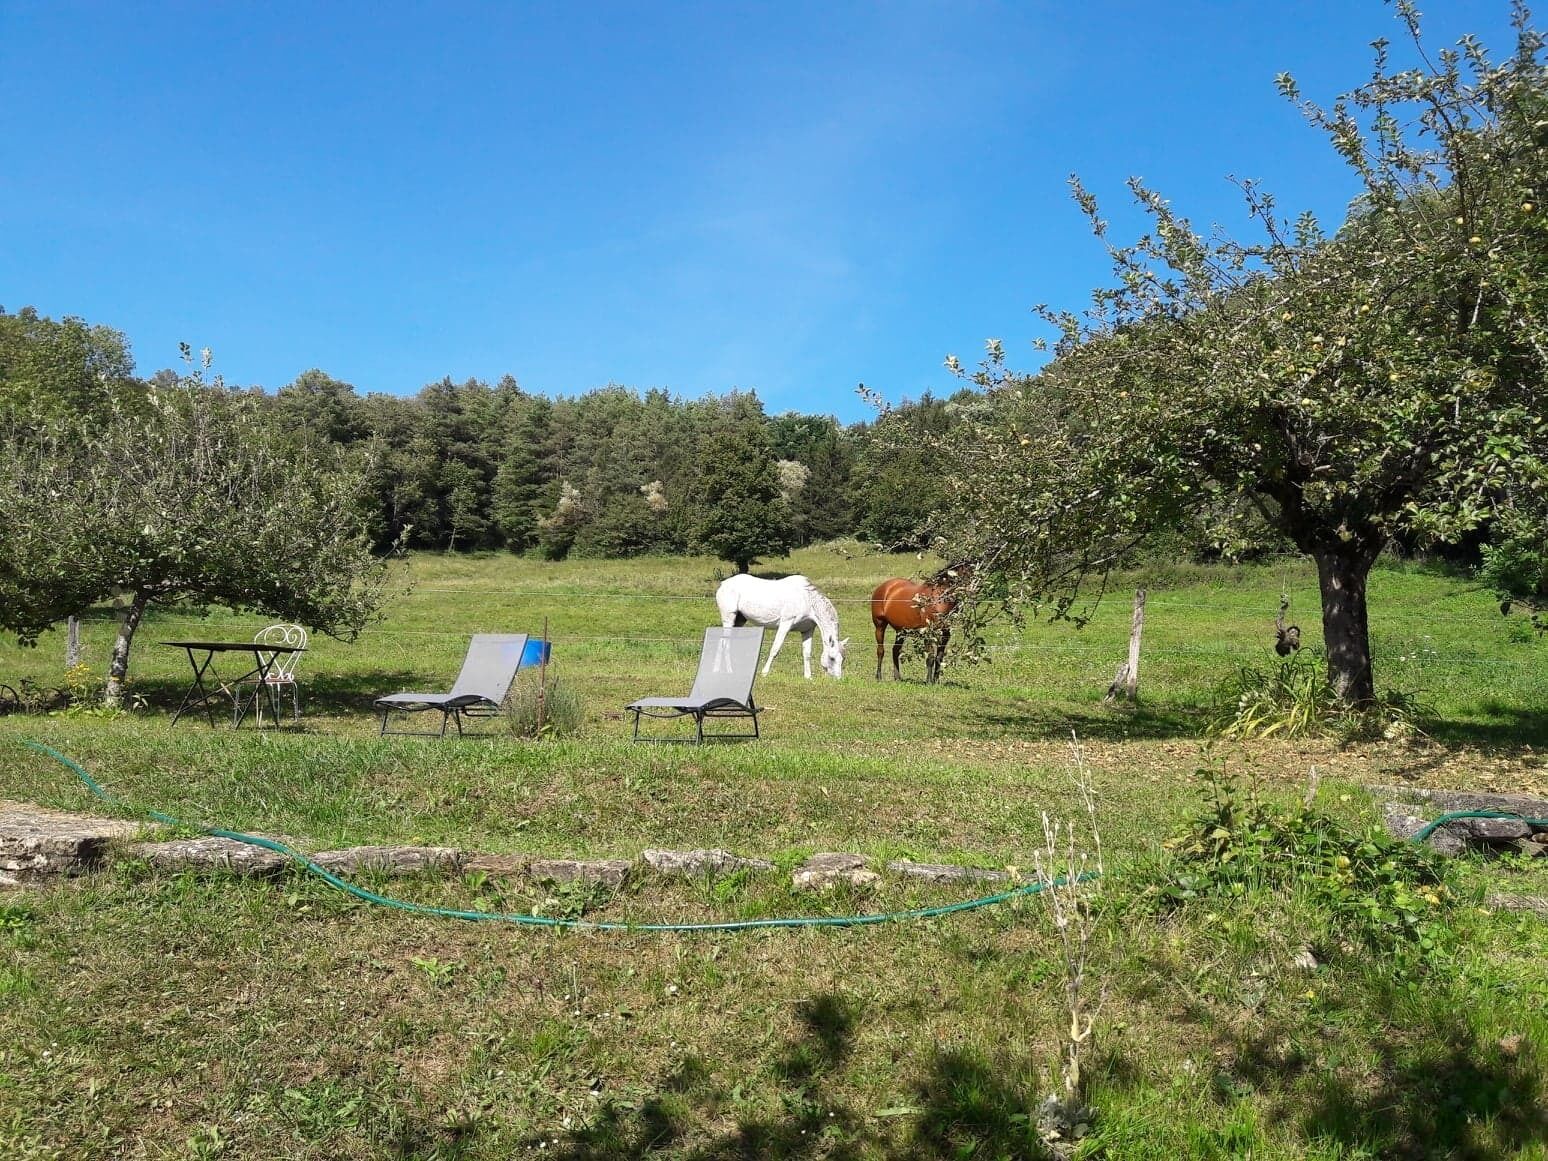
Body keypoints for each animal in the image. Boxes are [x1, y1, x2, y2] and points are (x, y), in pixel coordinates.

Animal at [714, 574, 849, 679]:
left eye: (843, 659)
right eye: (832, 658)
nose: (837, 678)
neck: (807, 600)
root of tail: (723, 584)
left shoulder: (807, 630)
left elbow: (807, 653)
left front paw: (808, 676)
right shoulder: (785, 624)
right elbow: (775, 649)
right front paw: (764, 672)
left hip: (739, 620)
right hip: (729, 618)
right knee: (724, 643)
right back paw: (726, 670)